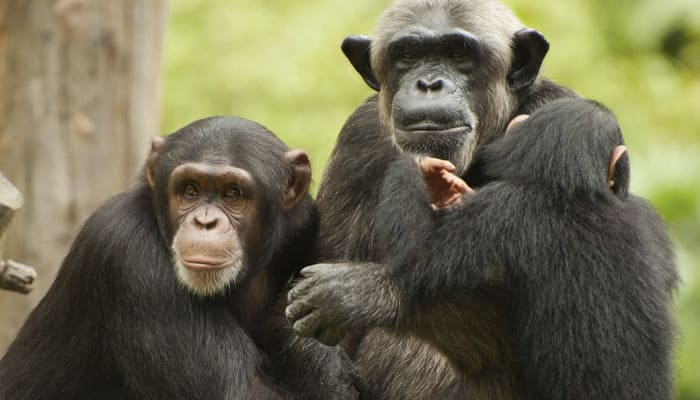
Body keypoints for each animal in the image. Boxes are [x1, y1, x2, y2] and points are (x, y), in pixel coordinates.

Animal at [0, 115, 360, 400]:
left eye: (232, 193)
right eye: (189, 189)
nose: (205, 222)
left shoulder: (302, 221)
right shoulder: (129, 256)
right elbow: (245, 394)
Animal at [296, 0, 576, 398]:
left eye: (458, 54)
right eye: (408, 55)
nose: (429, 83)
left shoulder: (560, 119)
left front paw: (368, 292)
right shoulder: (358, 142)